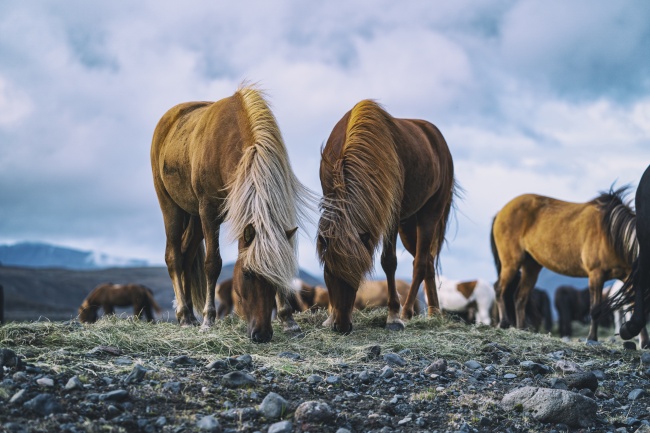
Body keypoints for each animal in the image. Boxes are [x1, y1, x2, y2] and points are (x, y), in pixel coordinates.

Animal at [149, 84, 308, 340]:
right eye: (247, 274)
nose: (262, 334)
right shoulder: (208, 210)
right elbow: (212, 263)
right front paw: (208, 320)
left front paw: (288, 319)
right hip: (171, 207)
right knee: (174, 256)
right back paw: (184, 315)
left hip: (194, 218)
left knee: (186, 255)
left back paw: (190, 314)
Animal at [316, 99, 454, 332]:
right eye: (329, 272)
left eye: (359, 273)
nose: (342, 326)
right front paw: (329, 317)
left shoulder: (391, 215)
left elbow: (389, 262)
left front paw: (393, 316)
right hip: (409, 225)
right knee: (427, 259)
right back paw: (434, 312)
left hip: (430, 214)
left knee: (420, 262)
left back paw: (407, 312)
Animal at [492, 187, 632, 342]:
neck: (612, 235)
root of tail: (501, 212)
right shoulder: (596, 274)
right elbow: (595, 309)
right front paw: (591, 338)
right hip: (511, 262)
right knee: (499, 288)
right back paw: (504, 323)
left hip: (531, 267)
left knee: (520, 297)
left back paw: (522, 329)